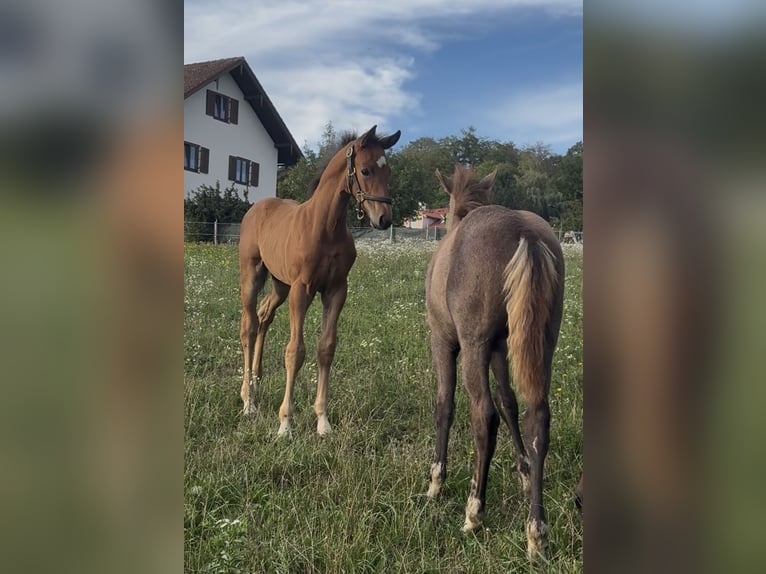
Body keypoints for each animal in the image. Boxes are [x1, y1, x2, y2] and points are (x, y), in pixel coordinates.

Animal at [237, 125, 401, 437]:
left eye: (389, 172)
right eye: (365, 170)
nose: (384, 219)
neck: (325, 227)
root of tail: (256, 208)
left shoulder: (336, 290)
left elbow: (326, 348)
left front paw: (323, 421)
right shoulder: (302, 290)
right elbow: (295, 351)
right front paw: (285, 424)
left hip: (280, 285)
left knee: (264, 316)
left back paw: (257, 381)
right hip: (253, 274)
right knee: (249, 326)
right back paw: (248, 400)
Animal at [424, 164, 565, 560]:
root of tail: (523, 231)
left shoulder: (444, 341)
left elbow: (445, 405)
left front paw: (436, 480)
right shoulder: (502, 348)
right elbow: (509, 403)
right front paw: (524, 473)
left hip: (473, 348)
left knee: (483, 415)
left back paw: (474, 510)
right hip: (541, 344)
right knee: (537, 417)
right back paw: (536, 531)